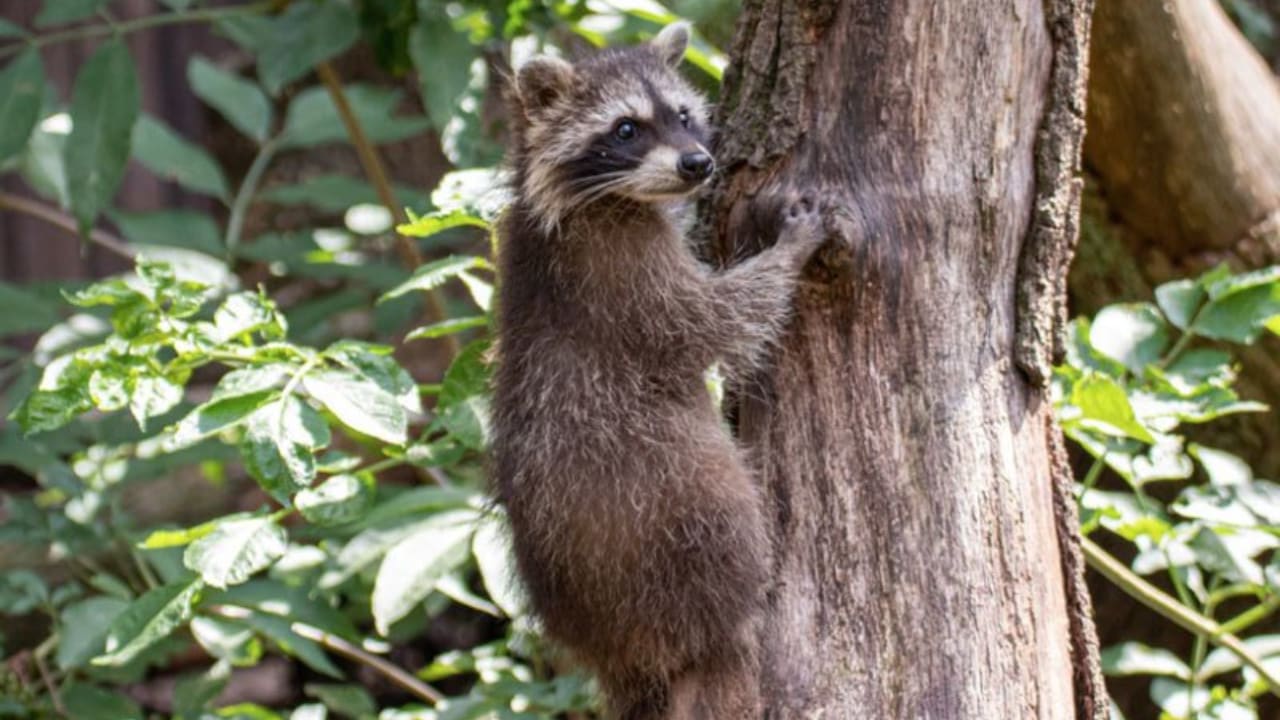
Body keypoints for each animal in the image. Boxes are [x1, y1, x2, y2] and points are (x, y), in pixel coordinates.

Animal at [491, 22, 827, 720]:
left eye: (683, 116)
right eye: (625, 129)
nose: (698, 164)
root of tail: (618, 650)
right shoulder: (621, 267)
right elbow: (709, 324)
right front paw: (788, 254)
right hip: (677, 507)